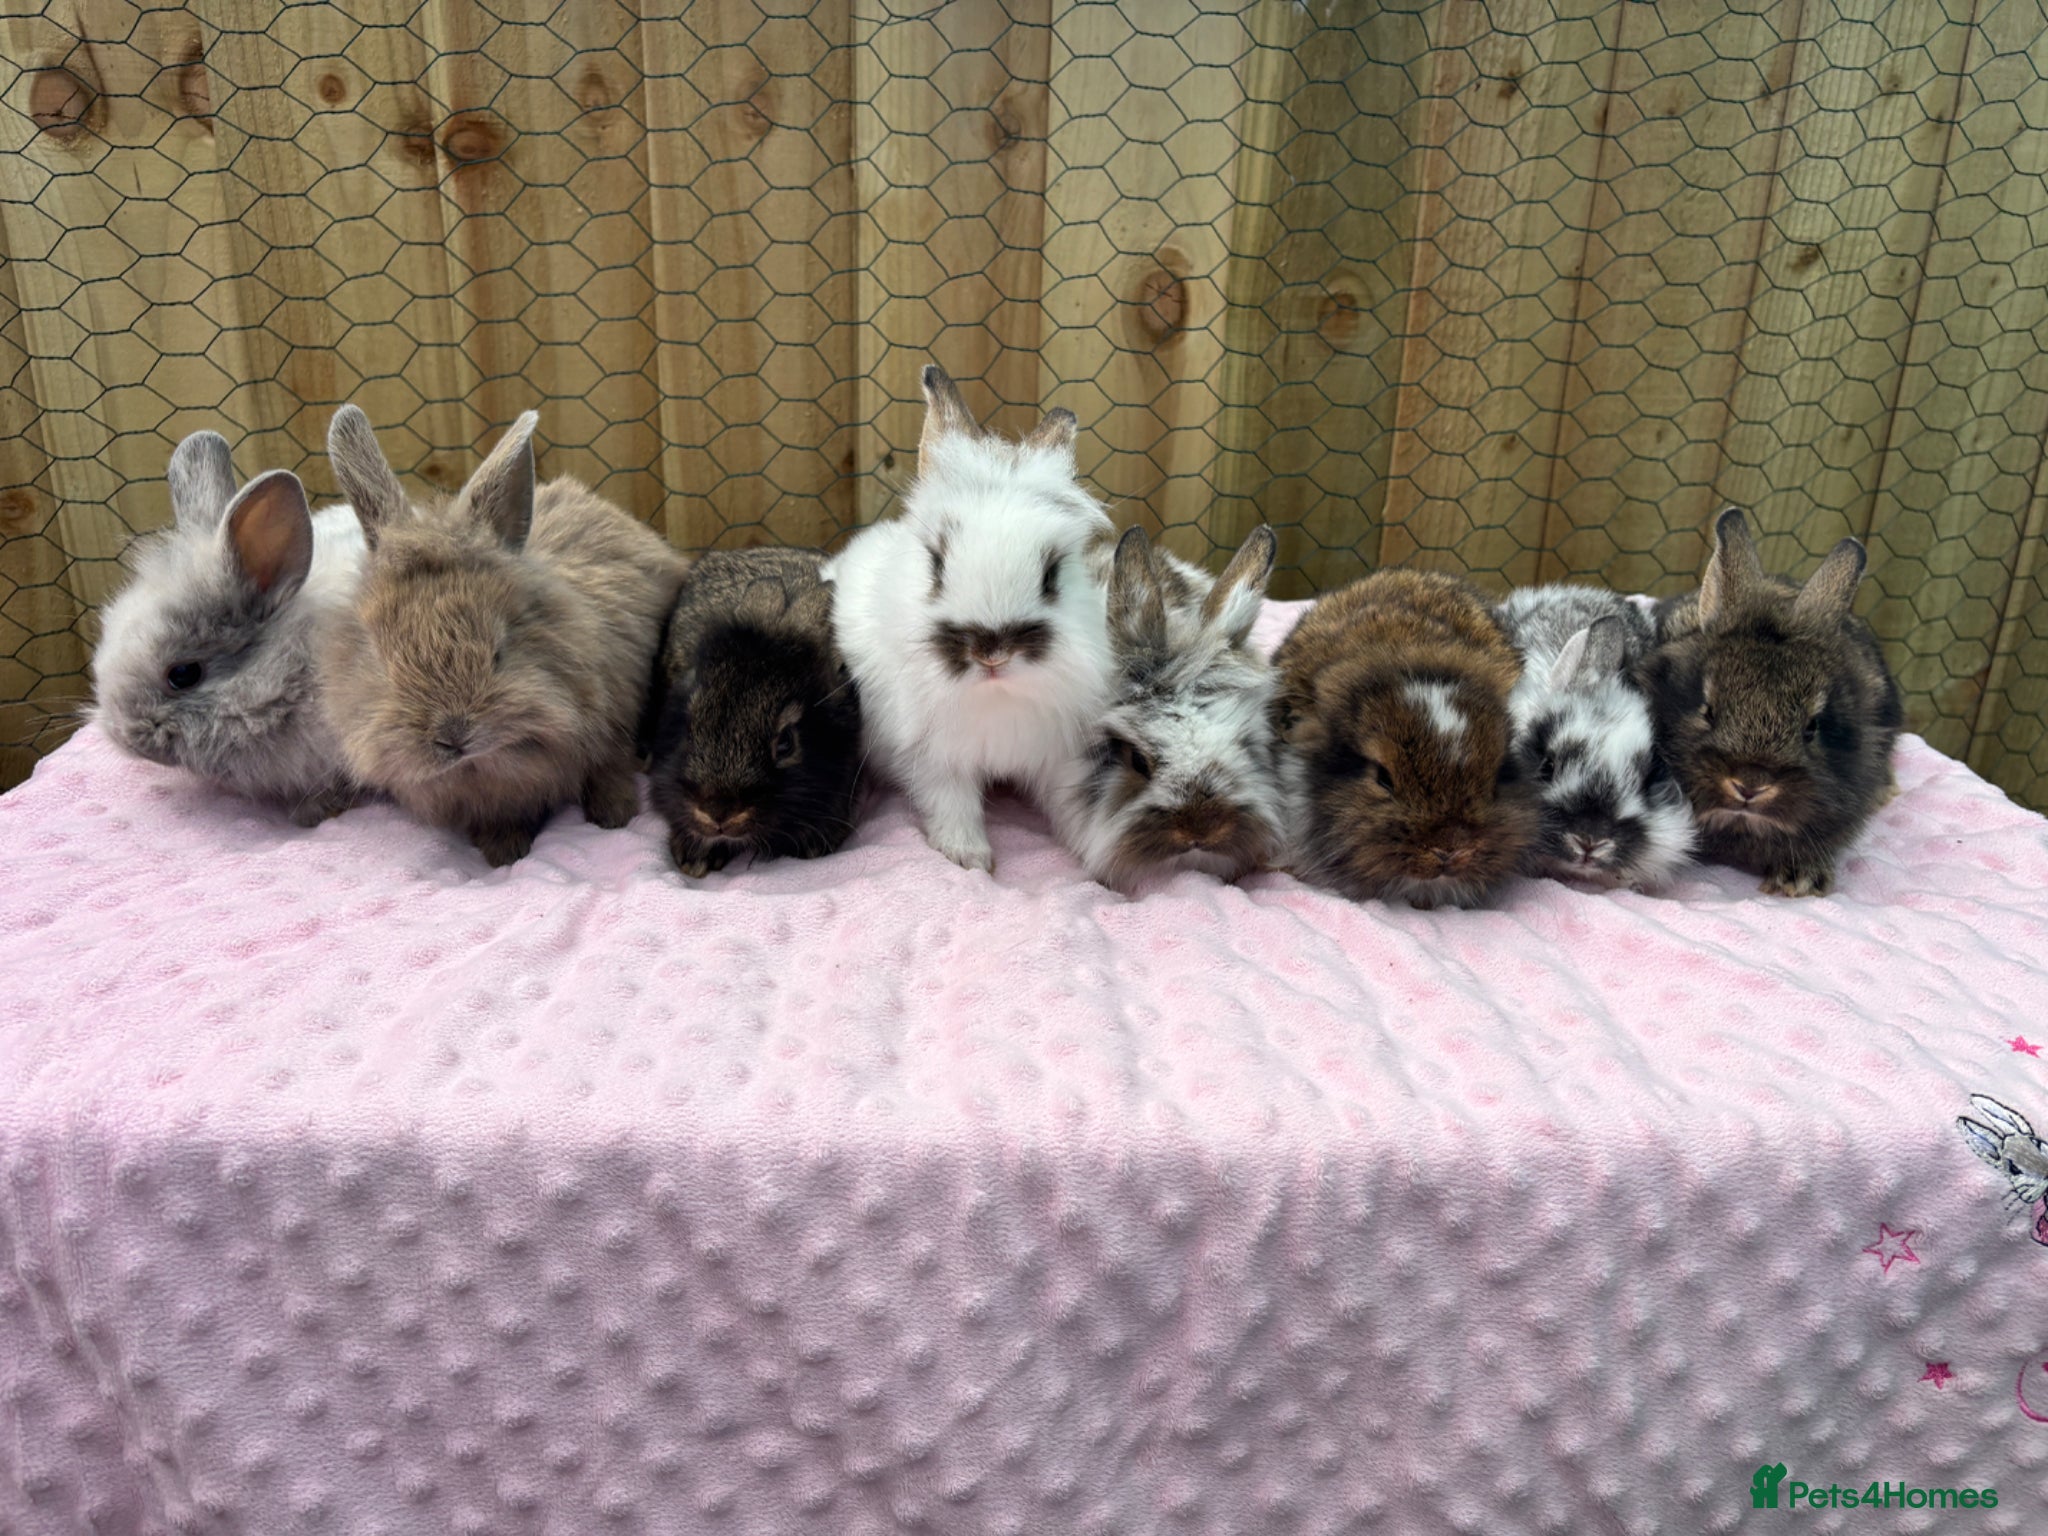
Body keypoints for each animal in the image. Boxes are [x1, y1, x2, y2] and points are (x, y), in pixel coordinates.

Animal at [320, 405, 688, 867]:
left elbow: (610, 770)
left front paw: (613, 817)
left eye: (499, 653)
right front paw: (503, 852)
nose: (453, 735)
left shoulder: (616, 720)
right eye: (383, 664)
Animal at [821, 364, 1115, 873]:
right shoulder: (933, 758)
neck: (996, 697)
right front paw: (970, 858)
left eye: (1052, 575)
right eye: (937, 563)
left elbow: (1073, 807)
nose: (993, 651)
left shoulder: (1058, 754)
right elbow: (951, 804)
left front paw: (1098, 856)